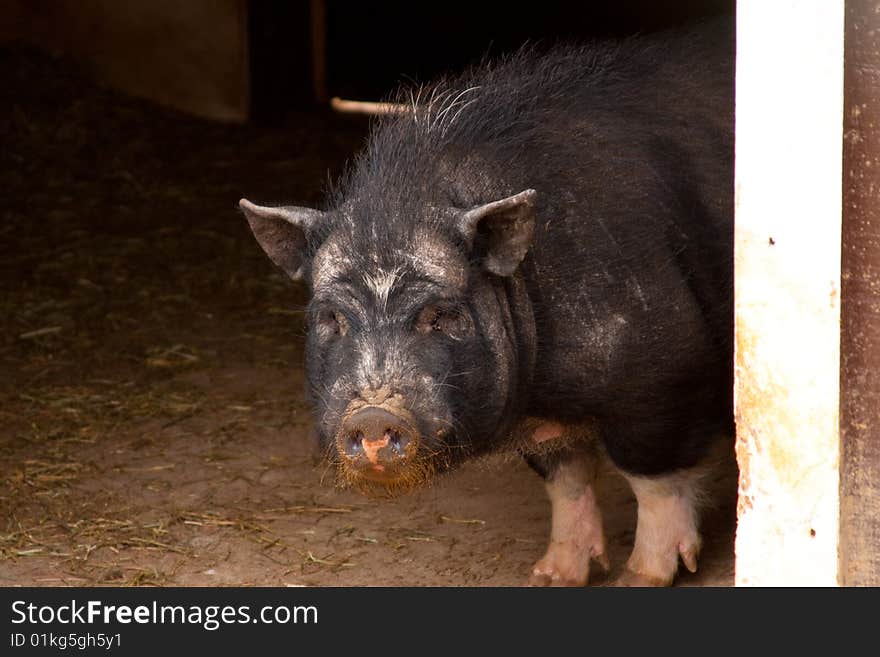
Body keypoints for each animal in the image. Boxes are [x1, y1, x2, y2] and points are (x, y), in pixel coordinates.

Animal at [241, 19, 736, 584]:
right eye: (331, 318)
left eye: (441, 315)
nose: (370, 416)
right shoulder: (544, 420)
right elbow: (565, 478)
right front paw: (549, 578)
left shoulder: (667, 374)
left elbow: (652, 479)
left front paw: (639, 579)